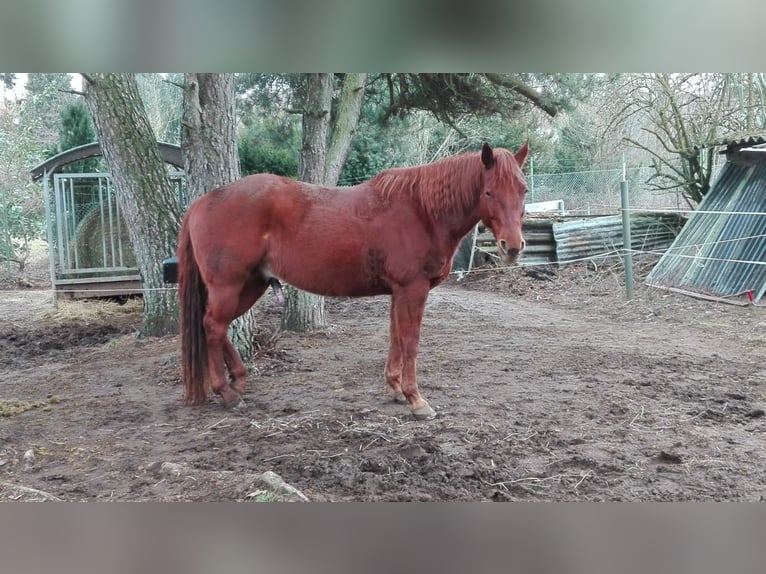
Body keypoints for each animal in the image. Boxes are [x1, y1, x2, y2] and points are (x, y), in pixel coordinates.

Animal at [178, 142, 532, 420]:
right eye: (489, 192)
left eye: (523, 190)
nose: (512, 246)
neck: (421, 210)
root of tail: (202, 201)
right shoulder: (412, 289)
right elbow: (410, 342)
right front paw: (416, 400)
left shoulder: (398, 293)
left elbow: (395, 337)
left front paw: (395, 388)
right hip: (229, 286)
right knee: (212, 326)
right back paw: (226, 393)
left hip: (251, 285)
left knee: (215, 326)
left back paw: (238, 380)